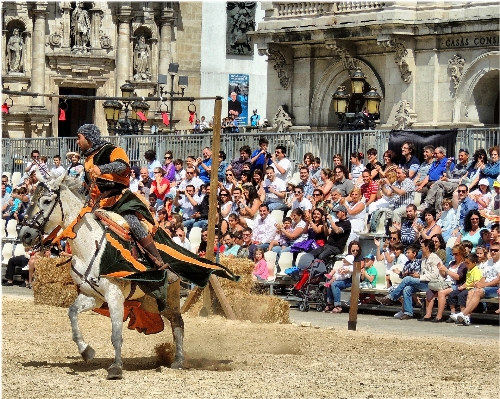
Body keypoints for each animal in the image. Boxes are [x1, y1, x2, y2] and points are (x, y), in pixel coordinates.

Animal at [17, 173, 232, 380]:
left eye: (46, 201)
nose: (25, 234)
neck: (90, 246)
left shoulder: (114, 296)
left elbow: (116, 335)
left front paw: (116, 368)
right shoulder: (93, 296)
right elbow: (72, 313)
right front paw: (86, 351)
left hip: (168, 297)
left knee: (178, 322)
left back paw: (178, 361)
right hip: (151, 301)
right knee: (174, 321)